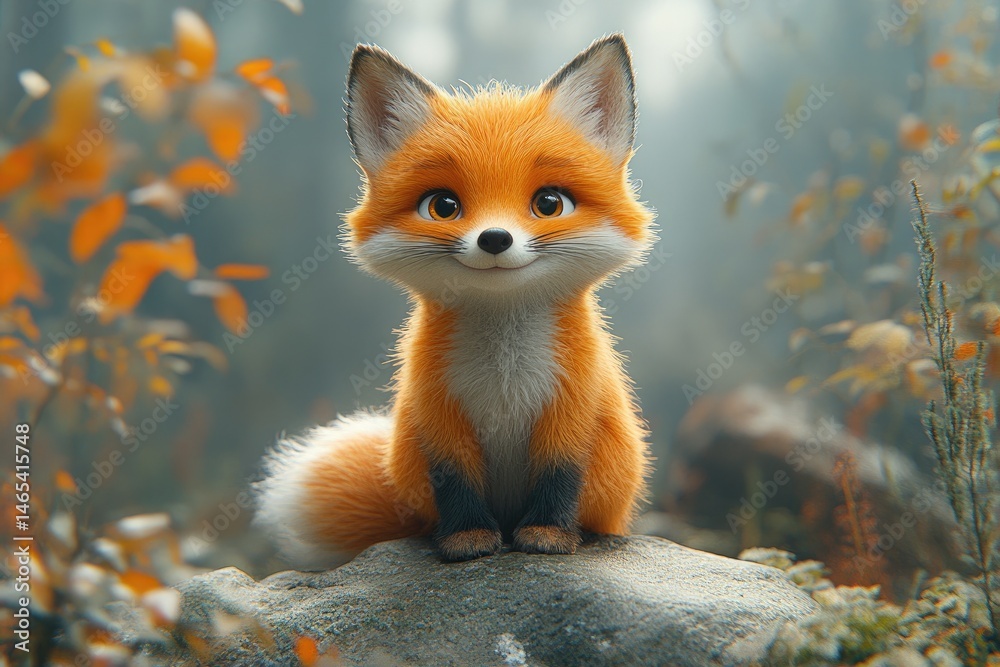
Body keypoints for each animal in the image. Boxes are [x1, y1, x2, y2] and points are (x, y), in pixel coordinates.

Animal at [254, 33, 656, 565]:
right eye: (443, 206)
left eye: (550, 203)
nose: (495, 239)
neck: (505, 378)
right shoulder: (438, 415)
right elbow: (456, 485)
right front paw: (467, 540)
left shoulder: (572, 411)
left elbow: (560, 479)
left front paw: (548, 536)